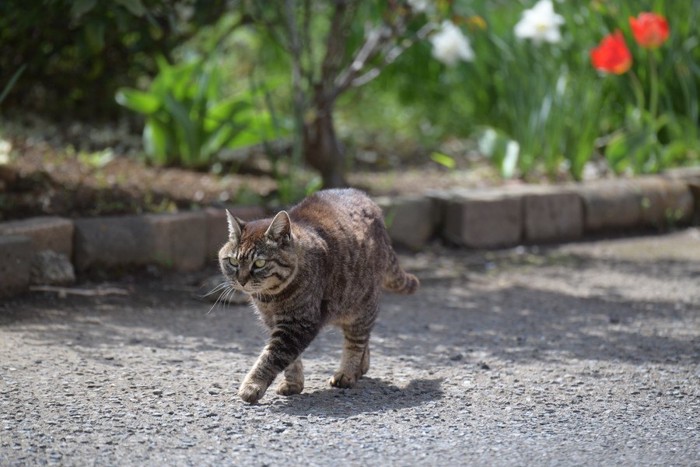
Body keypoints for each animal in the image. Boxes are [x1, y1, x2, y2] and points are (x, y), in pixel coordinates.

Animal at [217, 188, 416, 404]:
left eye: (259, 264)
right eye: (233, 262)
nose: (241, 280)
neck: (270, 299)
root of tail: (369, 201)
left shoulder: (299, 323)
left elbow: (272, 356)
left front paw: (252, 385)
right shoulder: (274, 322)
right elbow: (291, 360)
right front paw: (293, 384)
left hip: (362, 305)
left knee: (357, 341)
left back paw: (347, 373)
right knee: (365, 339)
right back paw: (361, 367)